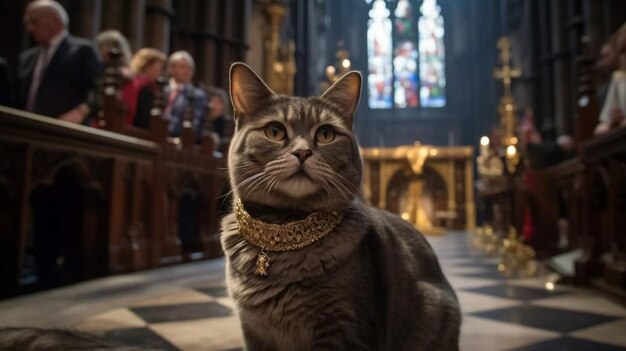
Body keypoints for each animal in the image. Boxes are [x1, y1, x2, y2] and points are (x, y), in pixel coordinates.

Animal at [219, 64, 458, 351]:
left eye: (325, 134)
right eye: (275, 131)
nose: (302, 152)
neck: (284, 231)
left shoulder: (342, 327)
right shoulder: (254, 331)